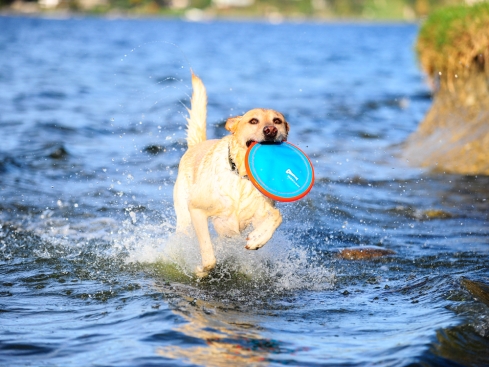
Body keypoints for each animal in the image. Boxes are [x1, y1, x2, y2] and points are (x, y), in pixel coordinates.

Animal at [174, 73, 290, 278]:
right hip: (184, 219)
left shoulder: (260, 213)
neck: (242, 177)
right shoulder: (197, 210)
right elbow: (208, 254)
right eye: (253, 121)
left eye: (277, 121)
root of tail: (196, 145)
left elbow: (277, 216)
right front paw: (201, 270)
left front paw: (257, 238)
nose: (271, 130)